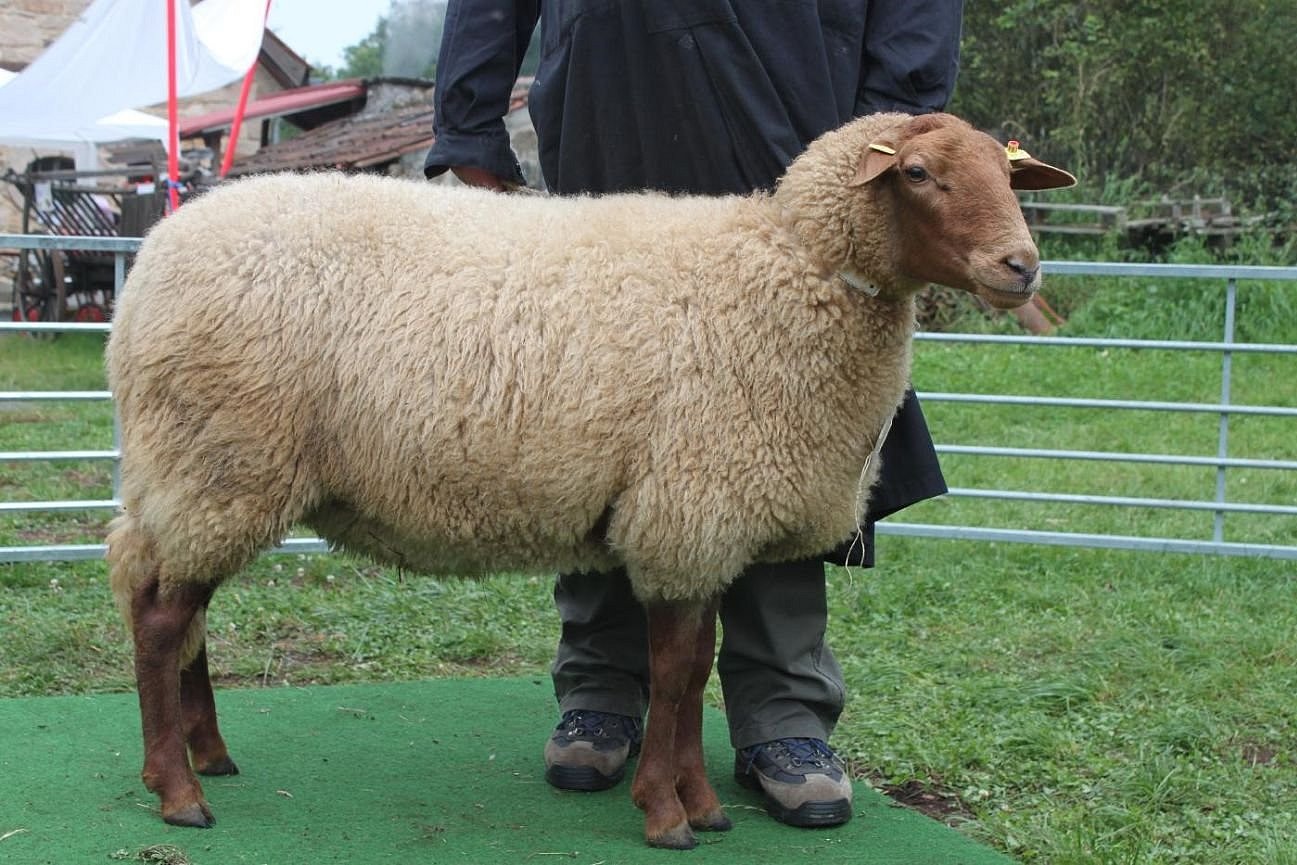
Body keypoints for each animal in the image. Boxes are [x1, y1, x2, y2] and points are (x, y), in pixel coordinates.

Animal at [103, 110, 1073, 850]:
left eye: (1007, 175)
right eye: (916, 172)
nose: (1020, 266)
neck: (791, 269)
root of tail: (150, 263)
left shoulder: (700, 520)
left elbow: (697, 667)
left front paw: (704, 806)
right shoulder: (689, 504)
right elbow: (677, 671)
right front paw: (667, 813)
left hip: (196, 473)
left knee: (174, 603)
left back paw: (206, 750)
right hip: (220, 459)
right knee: (160, 619)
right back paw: (177, 790)